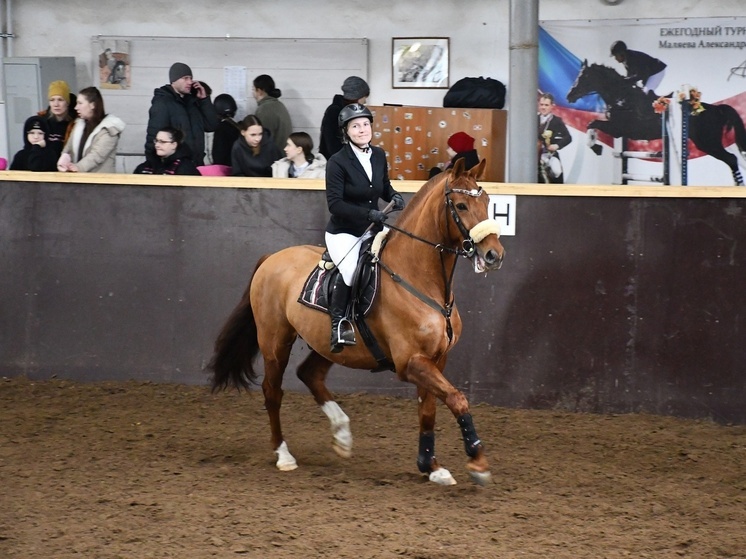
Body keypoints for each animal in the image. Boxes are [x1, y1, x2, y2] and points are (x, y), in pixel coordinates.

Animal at [206, 159, 502, 486]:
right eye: (461, 205)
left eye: (487, 202)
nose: (494, 255)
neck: (418, 278)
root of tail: (272, 257)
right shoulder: (411, 362)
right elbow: (456, 398)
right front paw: (477, 463)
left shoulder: (436, 359)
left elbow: (429, 410)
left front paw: (431, 467)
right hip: (275, 342)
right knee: (272, 392)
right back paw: (284, 455)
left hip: (327, 344)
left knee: (309, 374)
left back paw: (342, 434)